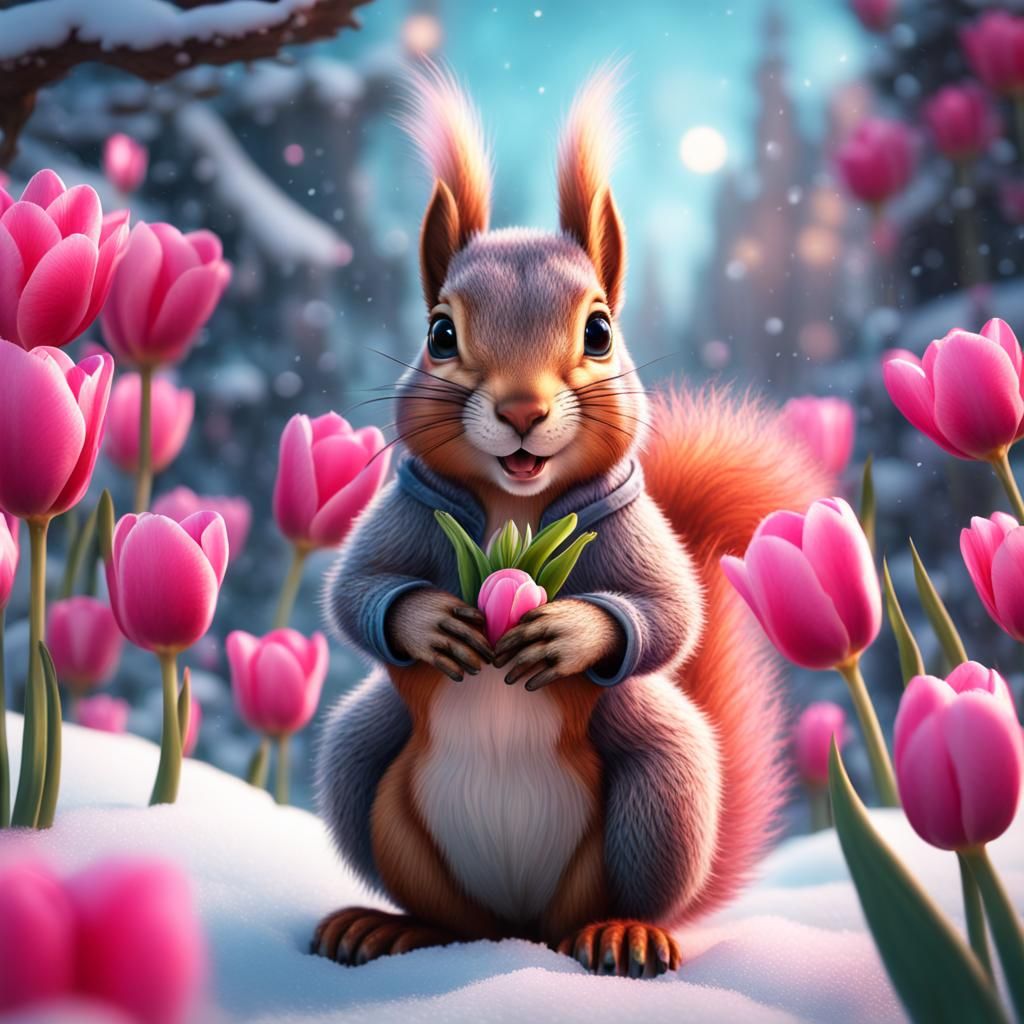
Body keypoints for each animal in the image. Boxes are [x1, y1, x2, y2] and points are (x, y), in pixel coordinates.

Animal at [313, 64, 829, 978]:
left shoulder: (633, 526)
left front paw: (570, 633)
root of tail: (521, 924)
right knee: (446, 908)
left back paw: (623, 934)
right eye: (439, 333)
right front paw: (431, 620)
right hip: (361, 770)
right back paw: (393, 928)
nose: (522, 410)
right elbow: (358, 592)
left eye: (599, 330)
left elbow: (666, 612)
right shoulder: (403, 508)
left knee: (612, 898)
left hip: (663, 788)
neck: (516, 505)